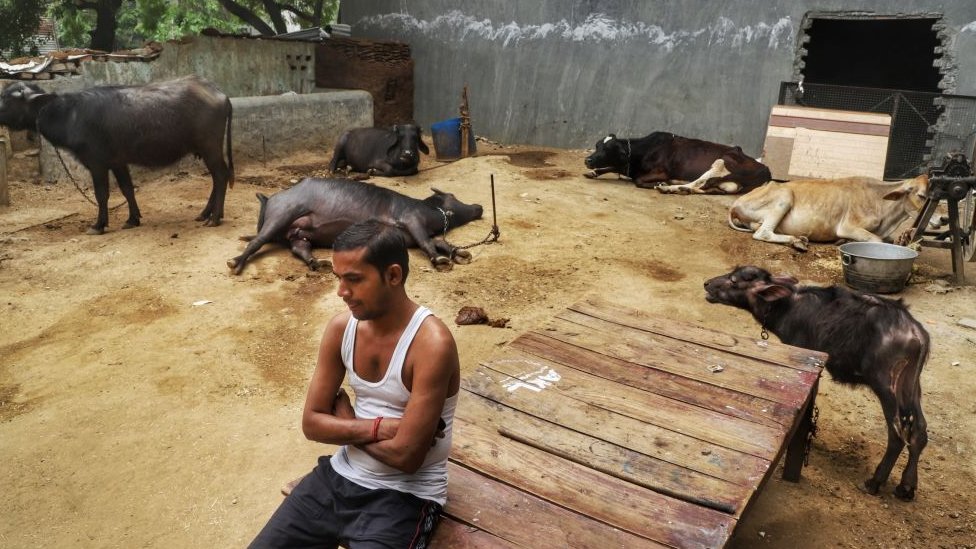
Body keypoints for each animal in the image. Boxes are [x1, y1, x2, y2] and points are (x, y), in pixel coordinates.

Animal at [0, 75, 234, 233]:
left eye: (7, 99)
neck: (70, 115)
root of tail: (220, 94)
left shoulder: (96, 164)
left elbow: (102, 194)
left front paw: (98, 225)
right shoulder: (118, 162)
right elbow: (127, 189)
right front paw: (133, 219)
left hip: (210, 147)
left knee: (221, 176)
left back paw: (214, 218)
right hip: (206, 151)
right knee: (216, 178)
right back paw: (206, 213)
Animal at [230, 178, 488, 274]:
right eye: (452, 196)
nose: (479, 206)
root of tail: (268, 199)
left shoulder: (411, 236)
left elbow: (439, 241)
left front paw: (461, 254)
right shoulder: (411, 219)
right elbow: (428, 242)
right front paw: (441, 261)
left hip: (298, 233)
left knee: (299, 248)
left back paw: (319, 264)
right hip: (282, 215)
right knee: (257, 241)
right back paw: (234, 263)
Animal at [584, 132, 772, 194]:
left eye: (608, 149)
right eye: (597, 145)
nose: (588, 160)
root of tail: (766, 169)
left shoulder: (661, 171)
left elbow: (638, 181)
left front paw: (659, 183)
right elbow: (613, 167)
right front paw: (593, 172)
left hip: (721, 161)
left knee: (698, 182)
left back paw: (668, 188)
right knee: (704, 188)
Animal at [704, 266, 928, 500]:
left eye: (734, 280)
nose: (707, 284)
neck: (787, 306)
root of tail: (916, 334)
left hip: (886, 385)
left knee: (897, 436)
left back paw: (874, 482)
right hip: (911, 386)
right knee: (919, 431)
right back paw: (906, 487)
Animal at [732, 173, 932, 250]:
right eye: (922, 195)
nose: (939, 220)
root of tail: (735, 204)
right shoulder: (848, 226)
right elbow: (878, 241)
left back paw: (800, 239)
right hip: (785, 195)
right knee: (763, 233)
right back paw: (797, 241)